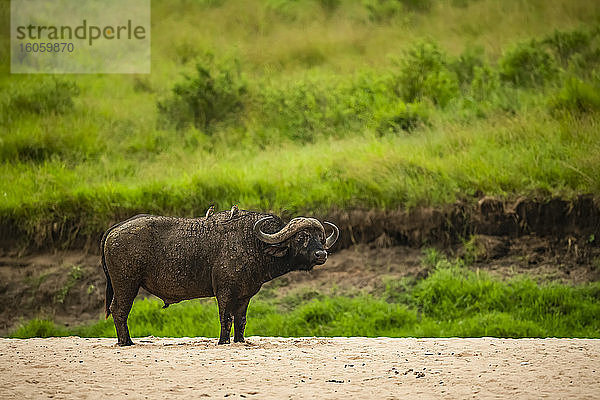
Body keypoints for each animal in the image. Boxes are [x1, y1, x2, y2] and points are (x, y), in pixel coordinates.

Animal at [101, 209, 340, 346]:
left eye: (320, 237)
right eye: (301, 237)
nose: (321, 254)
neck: (253, 243)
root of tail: (115, 229)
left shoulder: (245, 296)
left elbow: (241, 320)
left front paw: (240, 341)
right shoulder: (225, 292)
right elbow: (226, 317)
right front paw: (224, 341)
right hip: (126, 284)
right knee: (119, 310)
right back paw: (126, 342)